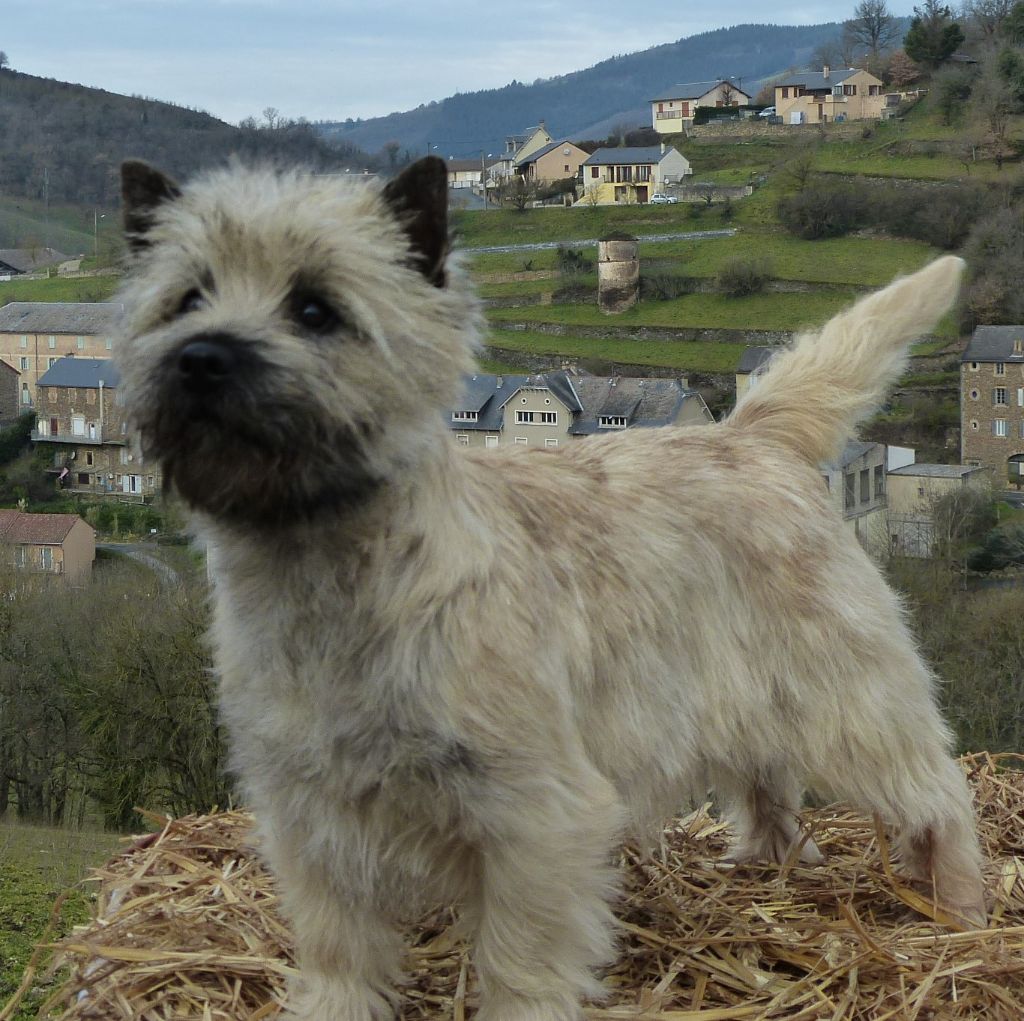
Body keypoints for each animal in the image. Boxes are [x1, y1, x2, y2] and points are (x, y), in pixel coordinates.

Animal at [116, 157, 987, 1019]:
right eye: (187, 299)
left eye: (314, 306)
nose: (201, 357)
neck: (330, 576)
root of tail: (752, 434)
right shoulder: (309, 810)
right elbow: (339, 947)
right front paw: (337, 1003)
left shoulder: (535, 815)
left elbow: (518, 960)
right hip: (746, 694)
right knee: (773, 791)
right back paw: (765, 868)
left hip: (848, 698)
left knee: (938, 792)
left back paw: (958, 912)